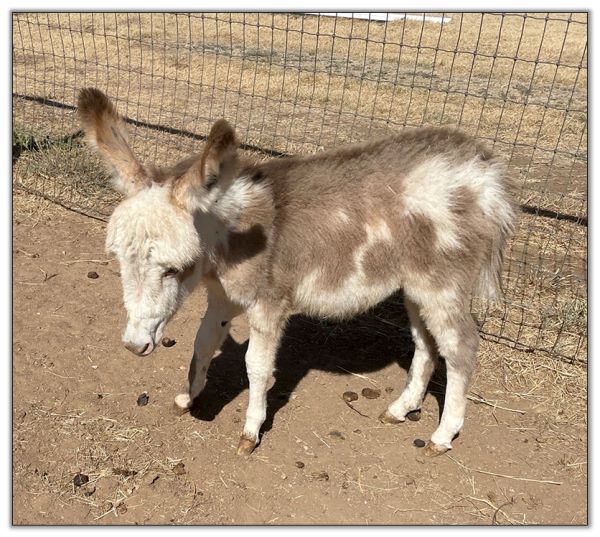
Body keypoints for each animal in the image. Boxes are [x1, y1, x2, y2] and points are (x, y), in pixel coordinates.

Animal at [77, 88, 516, 456]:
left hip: (442, 283)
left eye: (173, 269)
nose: (134, 345)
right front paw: (188, 398)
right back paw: (400, 408)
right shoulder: (221, 298)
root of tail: (486, 168)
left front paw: (250, 432)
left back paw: (443, 435)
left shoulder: (269, 306)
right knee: (427, 344)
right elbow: (202, 345)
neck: (232, 238)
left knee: (461, 346)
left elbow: (256, 367)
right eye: (119, 260)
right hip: (414, 286)